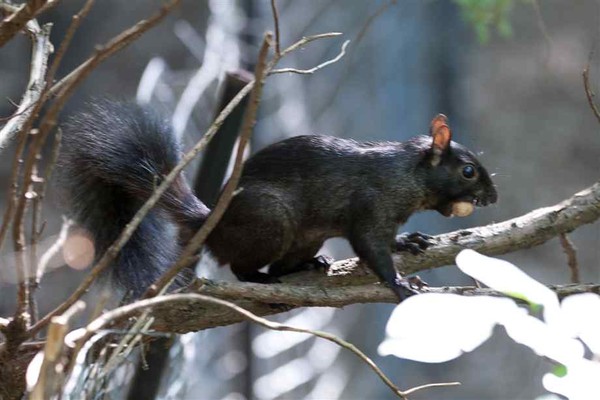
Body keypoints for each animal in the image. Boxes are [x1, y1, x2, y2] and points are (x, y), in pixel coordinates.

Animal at [56, 100, 496, 300]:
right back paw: (263, 277)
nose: (493, 197)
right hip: (271, 221)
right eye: (468, 171)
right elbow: (371, 247)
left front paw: (411, 241)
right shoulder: (371, 206)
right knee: (239, 267)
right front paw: (399, 282)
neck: (406, 173)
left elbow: (389, 241)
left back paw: (310, 264)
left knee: (287, 260)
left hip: (307, 236)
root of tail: (211, 224)